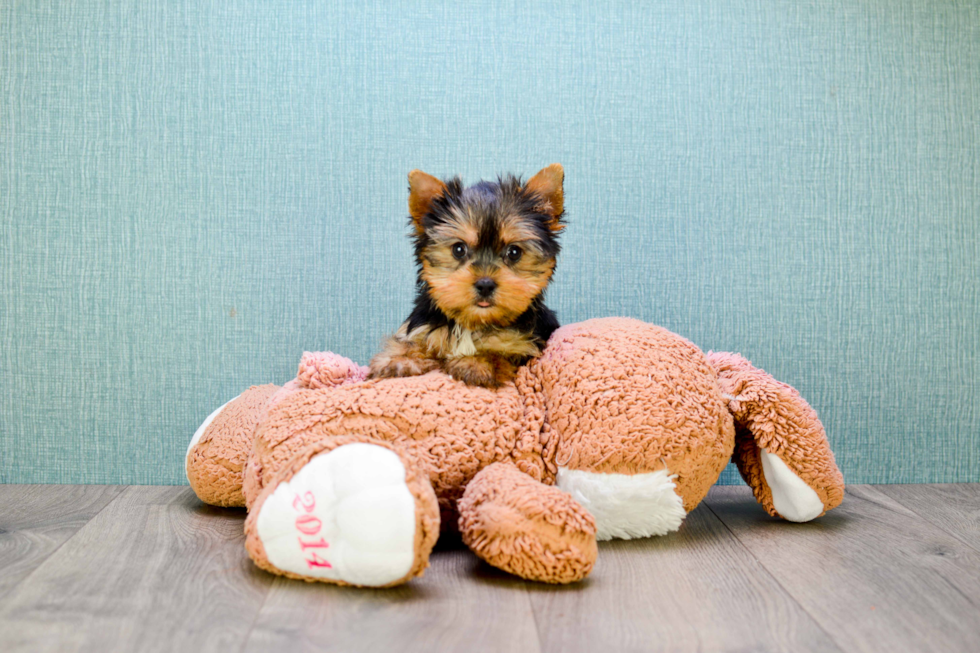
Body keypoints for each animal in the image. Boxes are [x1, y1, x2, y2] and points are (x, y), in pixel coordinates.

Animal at [370, 164, 568, 388]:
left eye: (514, 252)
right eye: (458, 249)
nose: (485, 284)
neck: (472, 322)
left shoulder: (521, 345)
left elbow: (498, 351)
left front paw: (475, 363)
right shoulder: (421, 328)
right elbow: (411, 343)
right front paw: (399, 360)